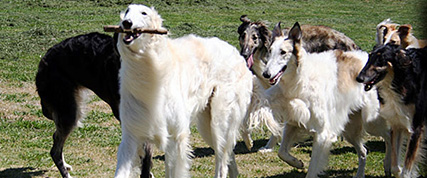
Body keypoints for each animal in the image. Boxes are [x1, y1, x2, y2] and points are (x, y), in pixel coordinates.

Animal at [115, 4, 280, 178]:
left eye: (144, 13)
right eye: (127, 11)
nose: (126, 23)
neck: (151, 69)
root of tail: (240, 57)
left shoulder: (177, 135)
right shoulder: (132, 136)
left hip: (221, 120)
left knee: (222, 161)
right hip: (207, 124)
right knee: (229, 156)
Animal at [264, 22, 382, 178]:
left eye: (283, 52)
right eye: (270, 51)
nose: (265, 74)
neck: (300, 79)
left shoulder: (322, 133)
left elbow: (312, 169)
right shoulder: (294, 121)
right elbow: (281, 152)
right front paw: (297, 163)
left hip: (371, 121)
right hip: (350, 130)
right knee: (363, 152)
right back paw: (360, 174)